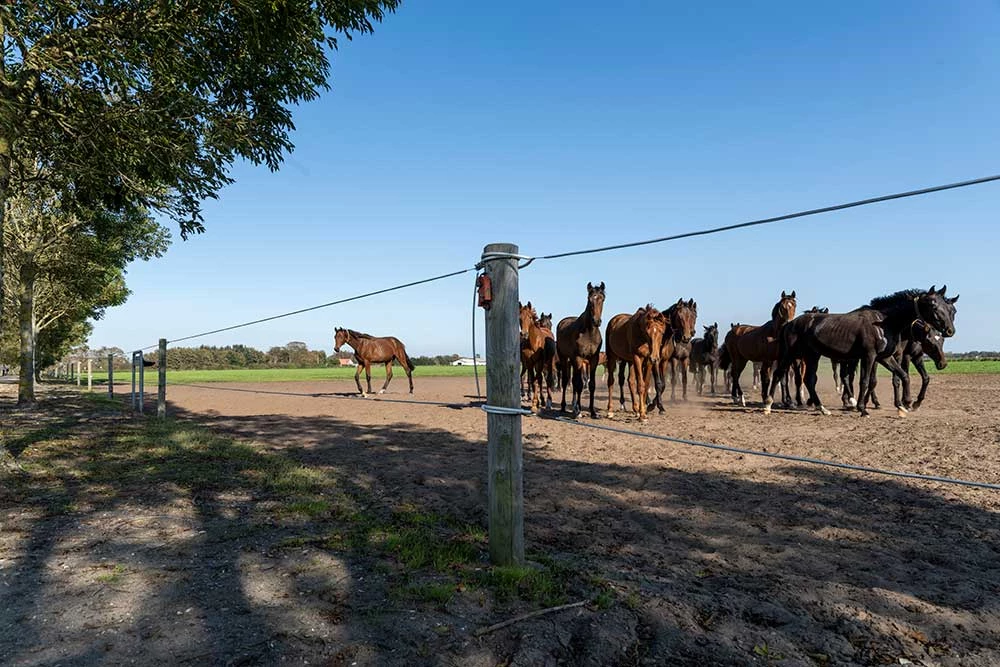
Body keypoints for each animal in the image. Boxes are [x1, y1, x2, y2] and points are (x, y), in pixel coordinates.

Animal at [560, 282, 604, 418]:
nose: (596, 321)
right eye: (590, 299)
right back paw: (564, 407)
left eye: (602, 299)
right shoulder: (579, 358)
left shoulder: (593, 359)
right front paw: (578, 410)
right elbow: (579, 384)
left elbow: (591, 384)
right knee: (566, 381)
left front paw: (593, 411)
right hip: (565, 359)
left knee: (574, 382)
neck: (589, 333)